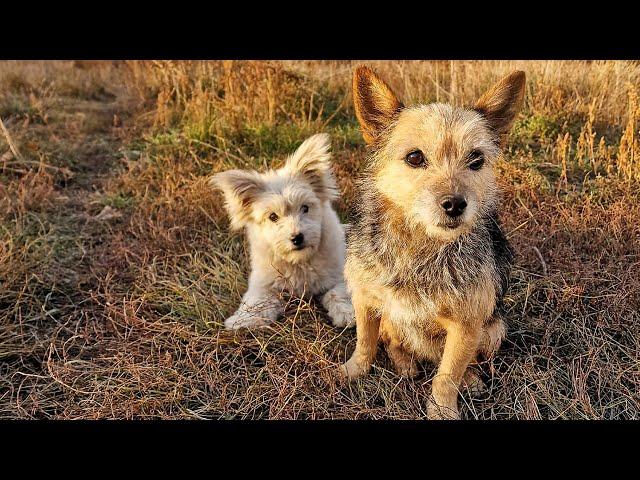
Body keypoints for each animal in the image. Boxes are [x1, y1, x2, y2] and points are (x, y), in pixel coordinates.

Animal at [210, 134, 356, 330]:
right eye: (273, 216)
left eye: (305, 208)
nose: (297, 237)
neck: (298, 261)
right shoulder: (263, 284)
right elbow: (257, 302)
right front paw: (241, 320)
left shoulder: (339, 273)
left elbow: (338, 292)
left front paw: (347, 314)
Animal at [340, 65, 524, 418]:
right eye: (414, 157)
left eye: (476, 160)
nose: (454, 204)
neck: (419, 247)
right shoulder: (366, 300)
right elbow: (365, 342)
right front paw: (352, 371)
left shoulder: (467, 326)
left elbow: (447, 376)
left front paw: (442, 410)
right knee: (392, 340)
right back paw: (405, 364)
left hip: (495, 329)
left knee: (462, 362)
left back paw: (470, 377)